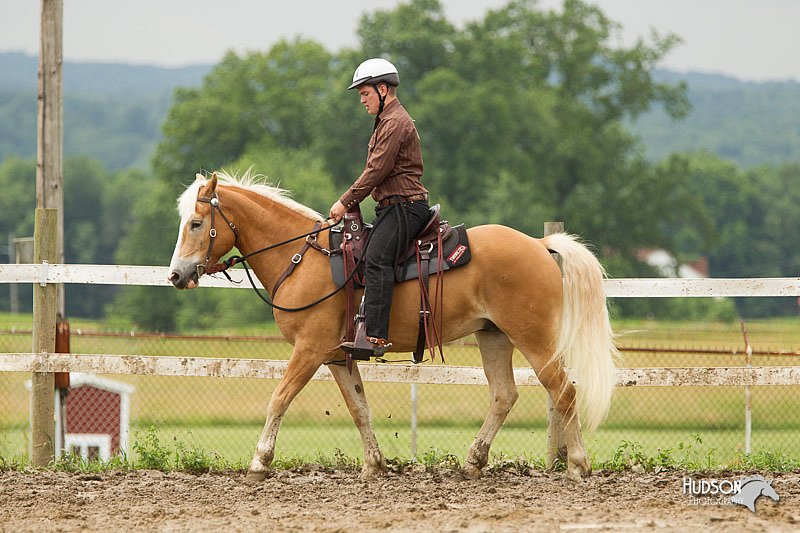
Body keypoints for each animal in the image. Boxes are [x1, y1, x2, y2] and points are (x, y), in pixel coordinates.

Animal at [167, 171, 620, 482]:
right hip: (493, 335)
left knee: (564, 391)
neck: (301, 257)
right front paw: (374, 465)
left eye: (196, 223)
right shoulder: (337, 356)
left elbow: (278, 399)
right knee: (504, 395)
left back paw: (577, 465)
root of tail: (540, 246)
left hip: (533, 337)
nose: (176, 275)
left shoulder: (309, 350)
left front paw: (259, 462)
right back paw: (473, 462)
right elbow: (359, 408)